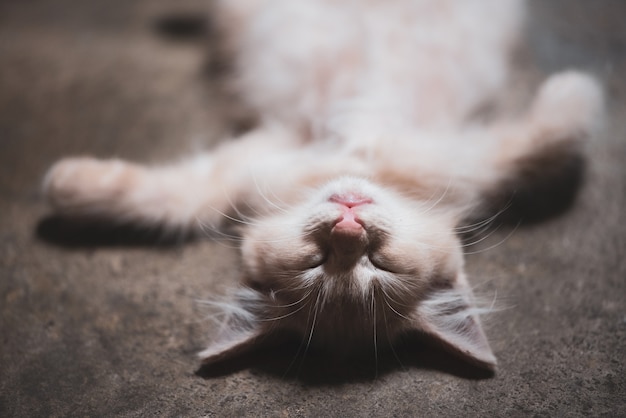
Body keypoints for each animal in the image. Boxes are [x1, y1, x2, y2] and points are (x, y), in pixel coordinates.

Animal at [42, 0, 600, 372]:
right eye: (316, 262)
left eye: (377, 264)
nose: (349, 222)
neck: (352, 150)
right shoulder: (251, 160)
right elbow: (173, 200)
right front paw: (67, 185)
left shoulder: (479, 158)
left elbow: (557, 136)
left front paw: (576, 84)